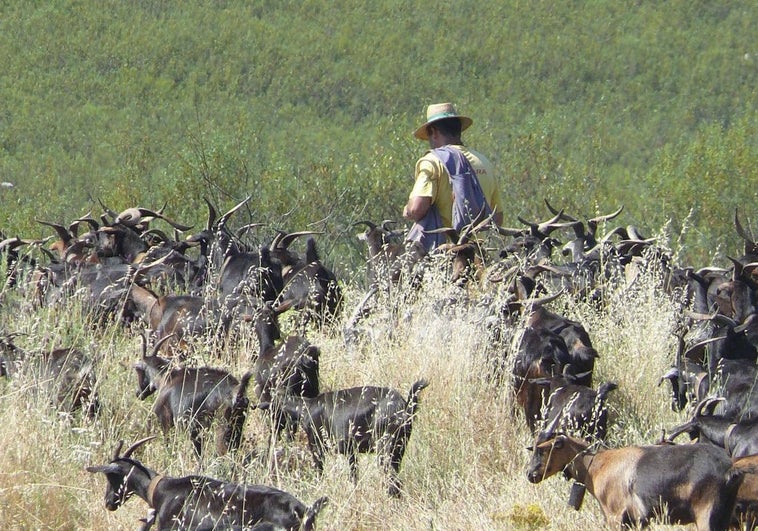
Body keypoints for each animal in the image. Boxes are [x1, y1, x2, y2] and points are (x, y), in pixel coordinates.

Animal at [268, 378, 430, 498]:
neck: (306, 407)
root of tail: (405, 407)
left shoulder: (317, 447)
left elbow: (320, 472)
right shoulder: (351, 451)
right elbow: (353, 475)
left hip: (386, 448)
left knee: (393, 481)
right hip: (398, 449)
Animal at [528, 434, 748, 528]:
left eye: (542, 450)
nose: (530, 474)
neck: (597, 464)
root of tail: (730, 469)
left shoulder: (615, 516)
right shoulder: (637, 521)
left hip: (706, 514)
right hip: (724, 515)